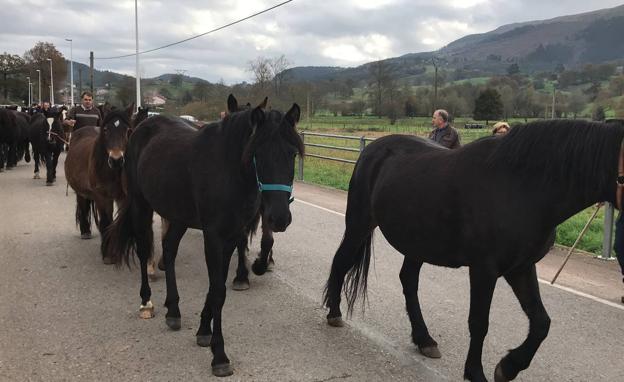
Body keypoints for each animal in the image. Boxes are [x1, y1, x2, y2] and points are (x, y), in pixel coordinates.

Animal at [105, 95, 304, 376]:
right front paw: (219, 355)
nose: (279, 218)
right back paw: (147, 302)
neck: (229, 172)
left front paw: (203, 331)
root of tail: (141, 127)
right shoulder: (213, 237)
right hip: (140, 204)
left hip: (178, 216)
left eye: (292, 153)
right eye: (258, 153)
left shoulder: (230, 237)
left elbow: (215, 286)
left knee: (169, 250)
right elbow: (218, 291)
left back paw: (173, 310)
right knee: (144, 250)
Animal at [322, 120, 624, 382]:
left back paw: (424, 339)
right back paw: (334, 313)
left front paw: (508, 367)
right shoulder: (484, 270)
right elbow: (479, 322)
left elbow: (541, 322)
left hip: (417, 242)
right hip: (359, 224)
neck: (523, 188)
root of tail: (372, 150)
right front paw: (476, 373)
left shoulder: (521, 268)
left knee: (408, 280)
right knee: (340, 262)